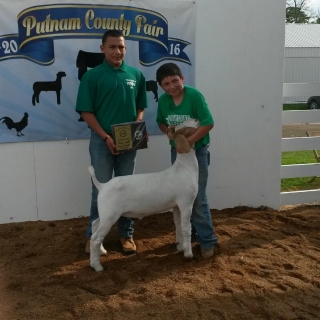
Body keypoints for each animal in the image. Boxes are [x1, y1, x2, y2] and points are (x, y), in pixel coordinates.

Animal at [89, 119, 199, 272]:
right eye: (185, 127)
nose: (197, 119)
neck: (183, 168)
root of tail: (102, 185)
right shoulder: (186, 202)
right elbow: (186, 227)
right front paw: (188, 254)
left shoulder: (176, 205)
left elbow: (177, 224)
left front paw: (180, 247)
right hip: (110, 215)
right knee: (96, 238)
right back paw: (97, 266)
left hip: (106, 212)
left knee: (94, 224)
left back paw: (102, 251)